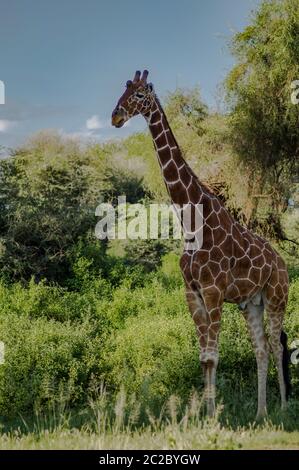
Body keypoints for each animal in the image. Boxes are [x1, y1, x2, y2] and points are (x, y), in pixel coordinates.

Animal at [110, 70, 290, 418]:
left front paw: (212, 416)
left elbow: (212, 356)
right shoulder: (191, 293)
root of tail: (284, 264)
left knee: (276, 345)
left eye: (139, 94)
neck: (191, 221)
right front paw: (203, 415)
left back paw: (285, 408)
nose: (116, 117)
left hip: (278, 297)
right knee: (261, 348)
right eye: (123, 91)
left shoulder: (213, 290)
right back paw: (260, 413)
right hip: (252, 303)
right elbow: (203, 358)